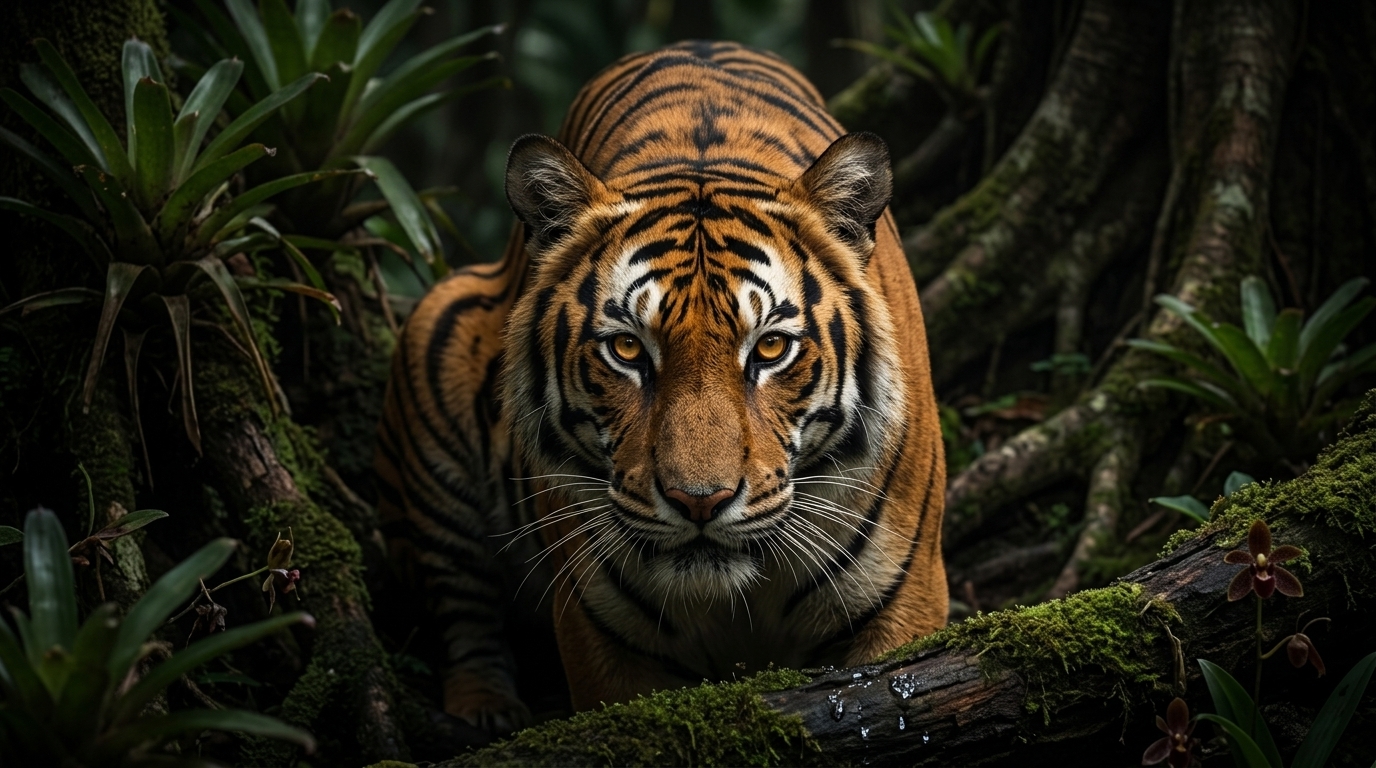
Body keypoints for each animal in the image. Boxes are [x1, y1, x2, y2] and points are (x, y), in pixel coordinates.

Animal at [374, 39, 947, 734]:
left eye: (771, 348)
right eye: (627, 350)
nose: (699, 502)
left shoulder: (903, 607)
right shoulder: (602, 641)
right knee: (461, 611)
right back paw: (487, 712)